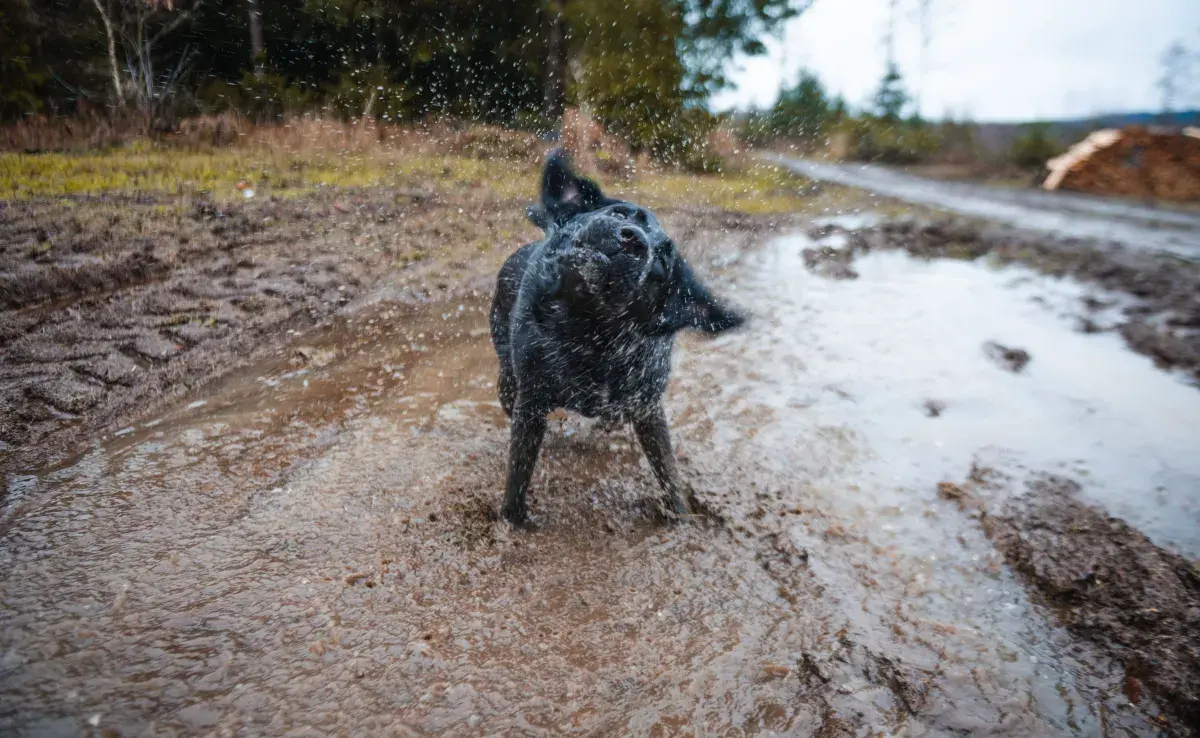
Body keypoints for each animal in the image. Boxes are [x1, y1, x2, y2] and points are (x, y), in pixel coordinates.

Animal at [487, 150, 739, 528]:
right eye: (620, 213)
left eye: (662, 258)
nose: (634, 239)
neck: (591, 335)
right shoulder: (530, 404)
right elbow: (518, 476)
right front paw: (512, 524)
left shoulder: (647, 407)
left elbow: (669, 473)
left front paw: (682, 519)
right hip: (508, 382)